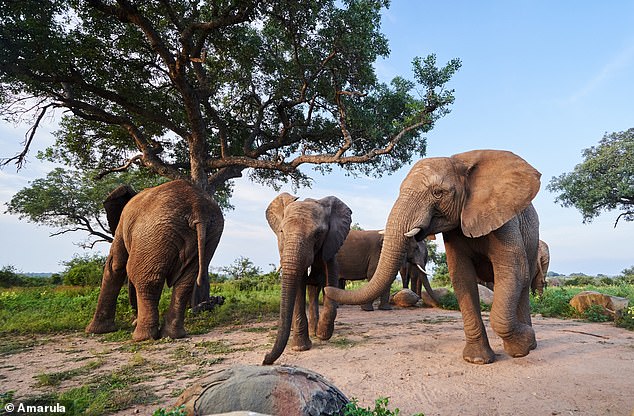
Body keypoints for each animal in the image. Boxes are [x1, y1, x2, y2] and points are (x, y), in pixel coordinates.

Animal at [84, 180, 222, 342]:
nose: (134, 318)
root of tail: (197, 209)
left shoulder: (122, 223)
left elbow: (115, 265)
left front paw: (95, 331)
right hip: (210, 234)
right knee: (185, 283)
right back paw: (172, 335)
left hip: (156, 233)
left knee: (146, 279)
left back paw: (141, 337)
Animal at [260, 192, 350, 364]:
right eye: (281, 231)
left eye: (318, 234)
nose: (265, 358)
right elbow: (299, 283)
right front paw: (300, 348)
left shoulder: (331, 242)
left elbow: (331, 277)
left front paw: (323, 335)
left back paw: (316, 332)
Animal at [324, 150, 540, 364]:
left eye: (438, 192)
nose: (326, 289)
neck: (461, 162)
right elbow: (462, 277)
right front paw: (477, 360)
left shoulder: (503, 218)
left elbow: (511, 270)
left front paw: (522, 345)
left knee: (524, 280)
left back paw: (530, 345)